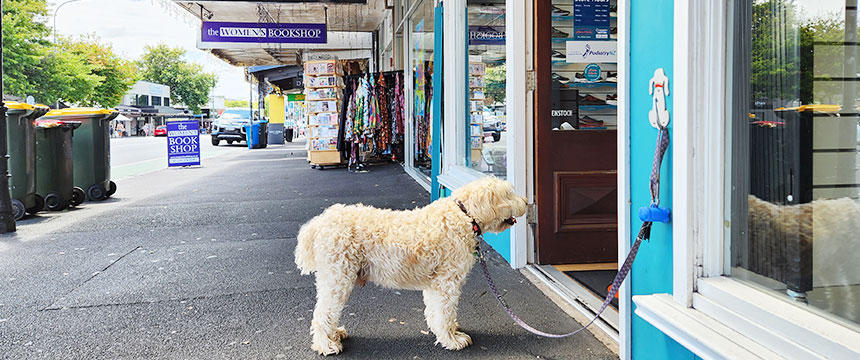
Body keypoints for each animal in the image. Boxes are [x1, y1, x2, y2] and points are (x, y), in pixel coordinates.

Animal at [294, 176, 524, 354]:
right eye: (509, 194)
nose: (526, 202)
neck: (464, 215)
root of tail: (320, 222)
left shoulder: (435, 283)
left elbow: (436, 311)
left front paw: (443, 332)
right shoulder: (447, 281)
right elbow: (446, 311)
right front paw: (452, 339)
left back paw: (335, 335)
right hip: (337, 278)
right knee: (323, 313)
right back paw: (326, 344)